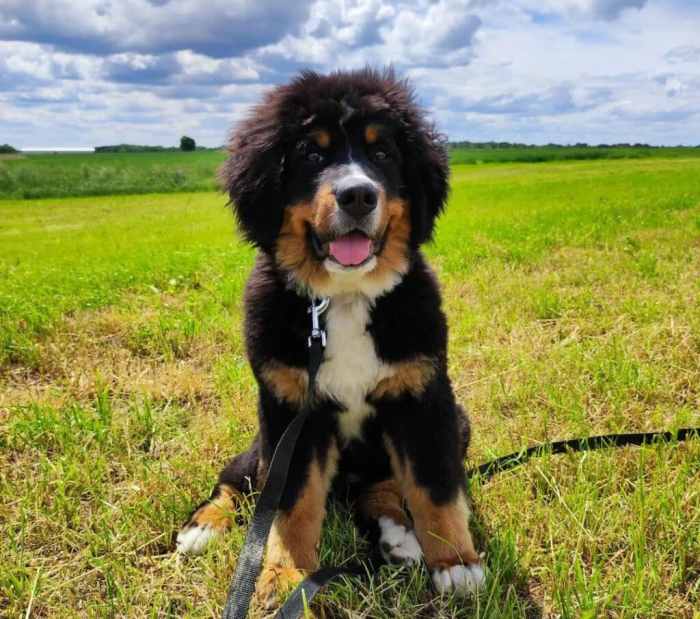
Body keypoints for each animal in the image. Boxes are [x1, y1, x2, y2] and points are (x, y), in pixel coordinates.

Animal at [175, 68, 484, 612]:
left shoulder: (423, 399)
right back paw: (203, 526)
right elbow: (291, 504)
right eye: (311, 153)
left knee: (380, 490)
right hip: (263, 443)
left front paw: (454, 561)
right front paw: (284, 576)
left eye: (382, 152)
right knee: (238, 480)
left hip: (455, 423)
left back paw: (399, 537)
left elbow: (435, 488)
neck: (343, 298)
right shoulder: (290, 406)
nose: (357, 196)